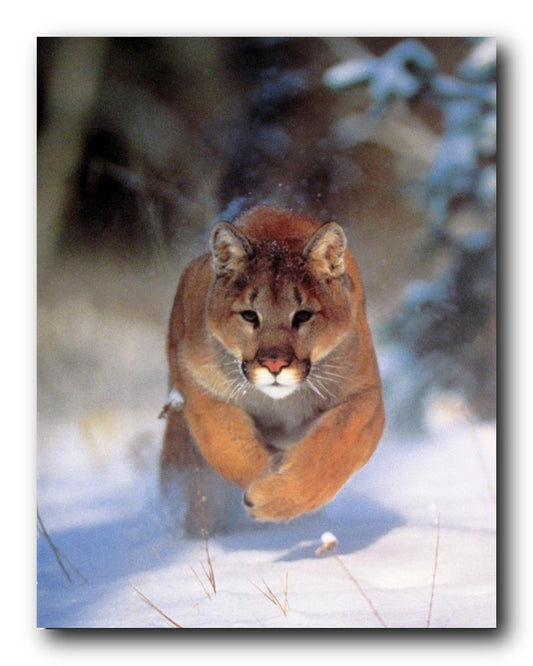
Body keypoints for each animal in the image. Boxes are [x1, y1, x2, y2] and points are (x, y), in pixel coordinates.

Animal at [160, 206, 384, 535]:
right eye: (250, 315)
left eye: (302, 315)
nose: (274, 365)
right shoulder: (197, 384)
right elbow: (230, 447)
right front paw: (268, 479)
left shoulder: (363, 393)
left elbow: (331, 450)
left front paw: (279, 496)